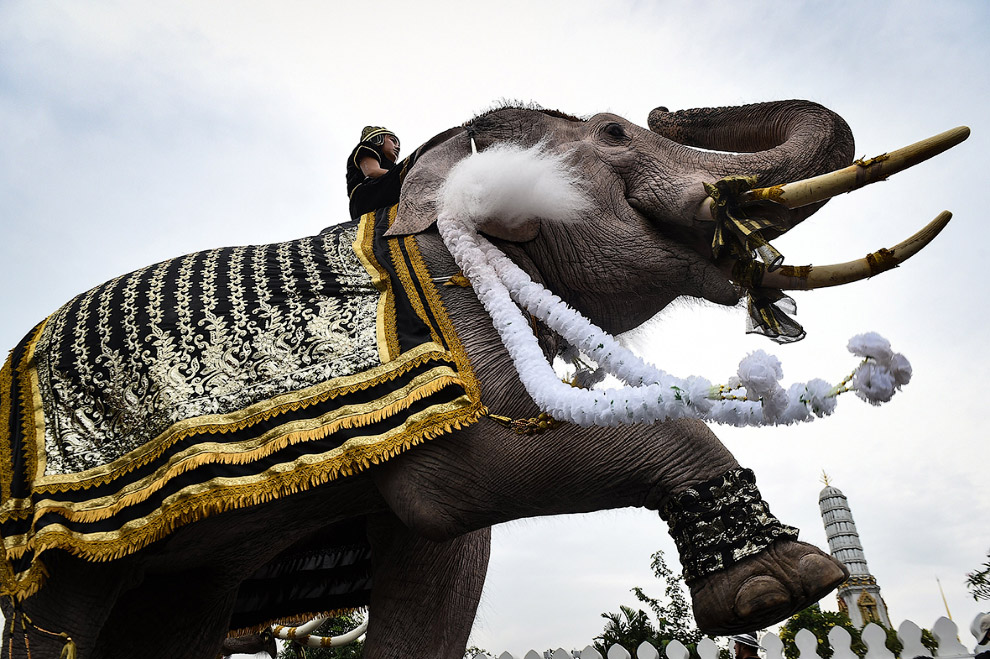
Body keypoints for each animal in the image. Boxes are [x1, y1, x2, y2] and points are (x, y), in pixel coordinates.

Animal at [0, 99, 960, 659]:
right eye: (616, 132)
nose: (666, 104)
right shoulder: (443, 319)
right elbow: (454, 491)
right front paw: (784, 587)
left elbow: (446, 553)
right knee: (60, 618)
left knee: (178, 609)